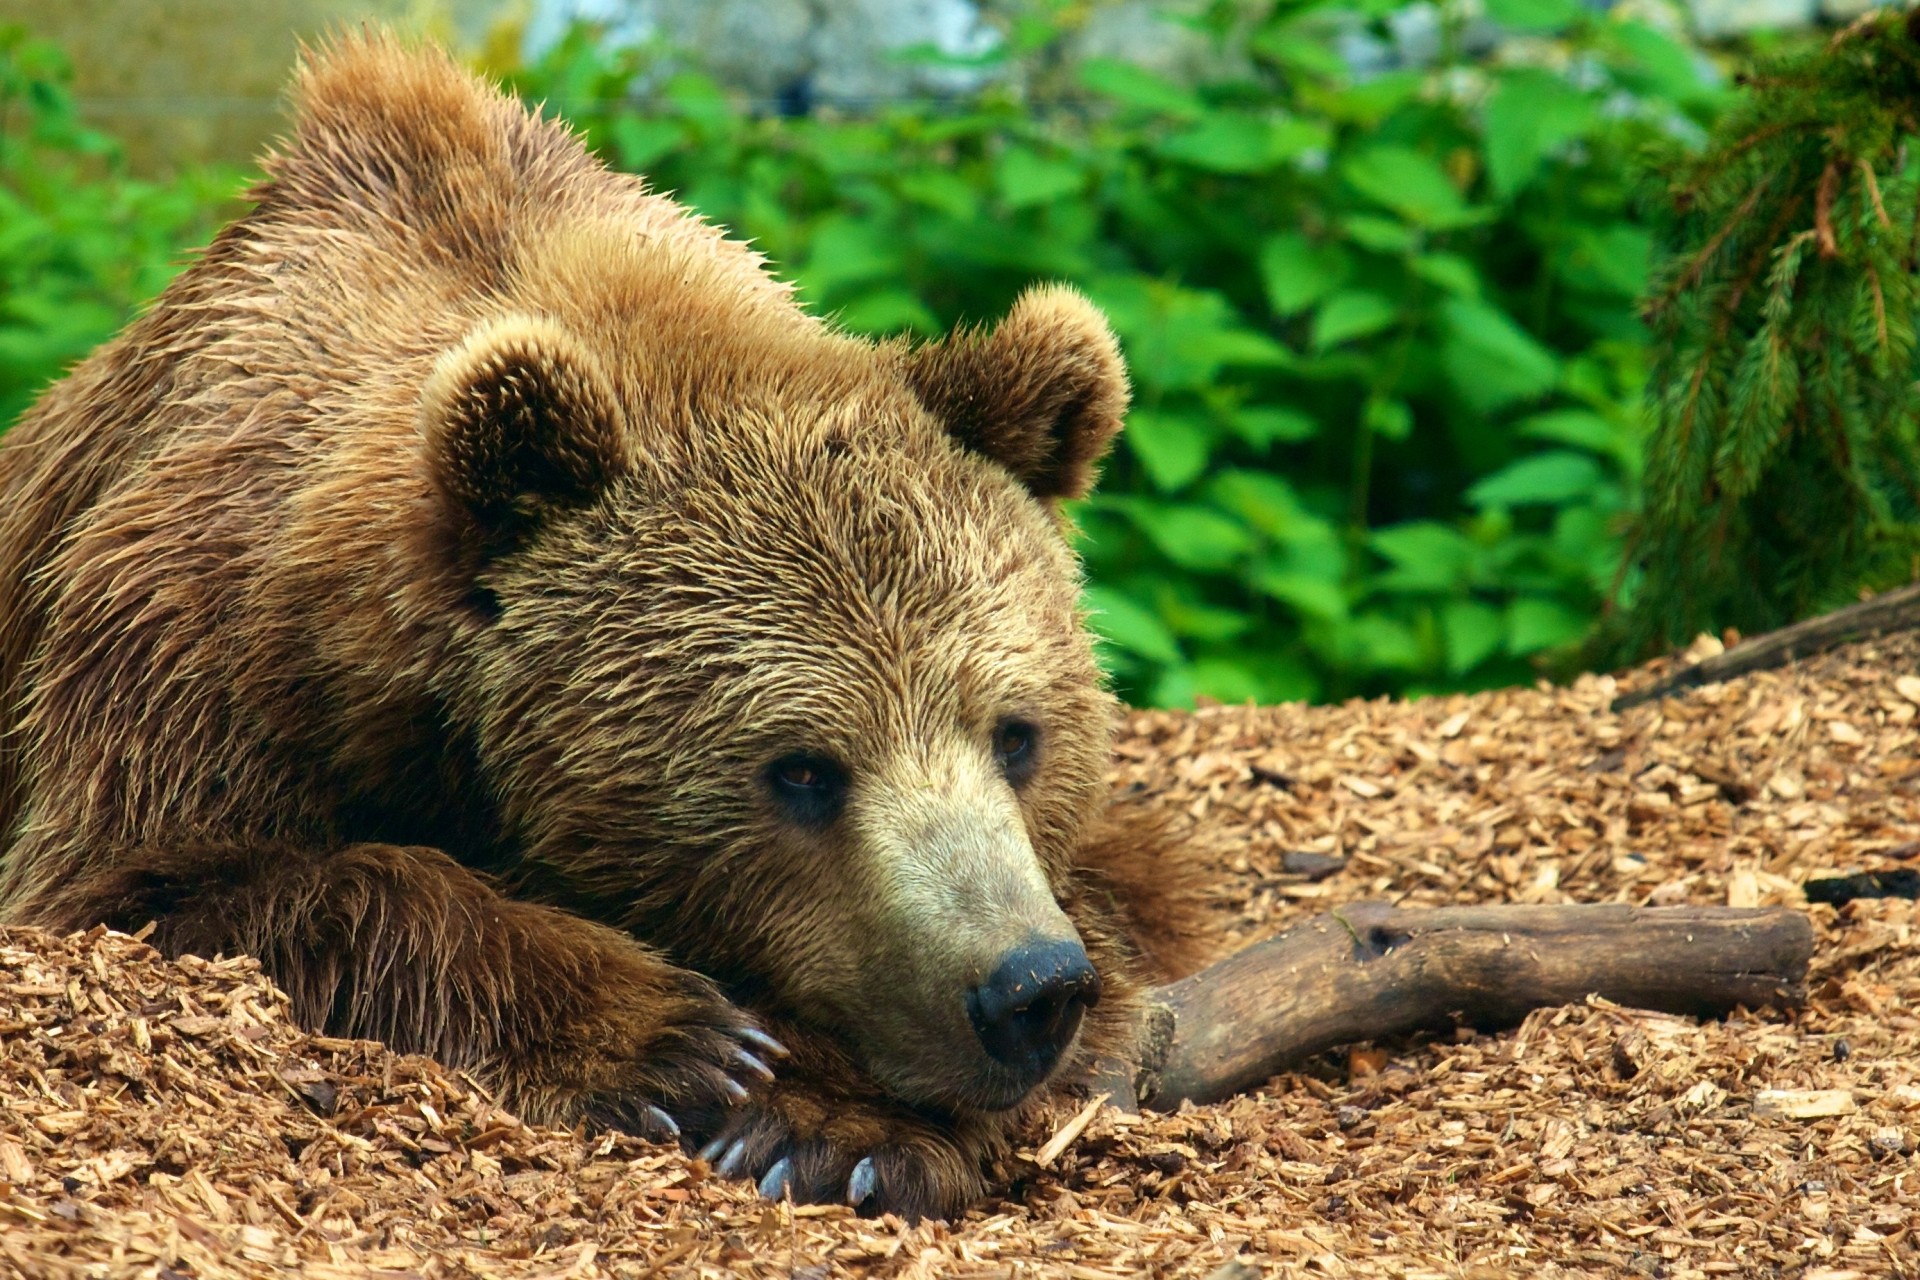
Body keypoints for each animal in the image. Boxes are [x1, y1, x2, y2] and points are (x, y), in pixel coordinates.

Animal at [0, 32, 1200, 1220]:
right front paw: (680, 1041)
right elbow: (171, 890)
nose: (1027, 987)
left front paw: (841, 1132)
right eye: (802, 768)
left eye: (1017, 735)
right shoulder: (193, 647)